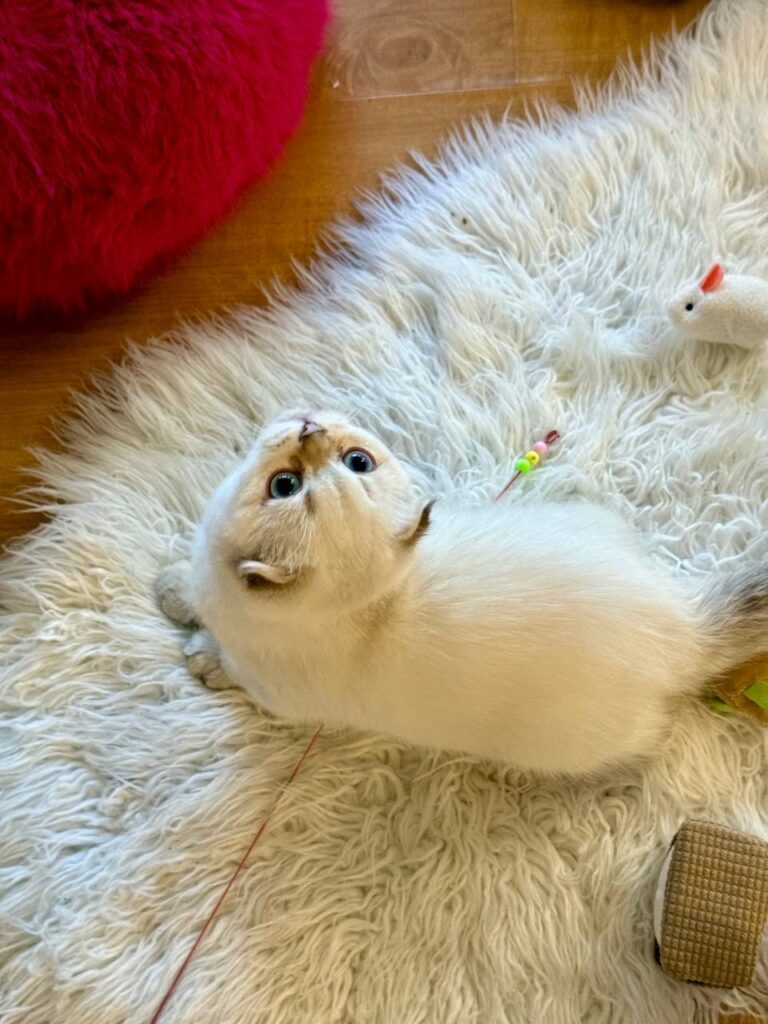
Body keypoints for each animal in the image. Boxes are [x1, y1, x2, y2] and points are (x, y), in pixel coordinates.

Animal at [157, 407, 768, 774]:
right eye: (286, 483)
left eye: (355, 461)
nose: (310, 426)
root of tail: (684, 626)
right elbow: (192, 587)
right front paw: (172, 589)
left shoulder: (268, 688)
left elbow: (225, 662)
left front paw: (200, 655)